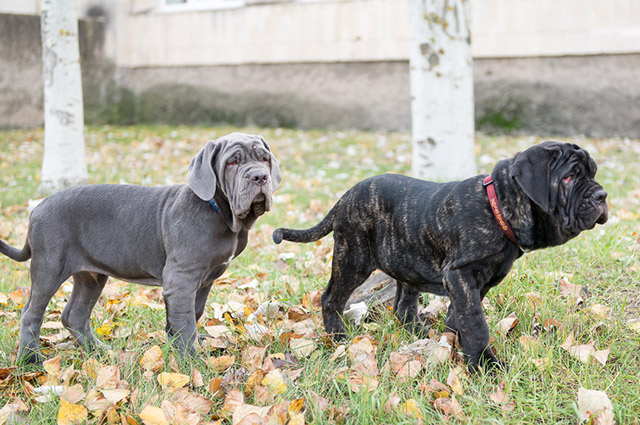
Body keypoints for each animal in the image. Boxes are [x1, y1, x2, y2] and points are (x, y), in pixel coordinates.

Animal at [0, 132, 280, 362]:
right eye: (232, 163)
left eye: (264, 159)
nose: (259, 176)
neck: (221, 212)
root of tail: (36, 208)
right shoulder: (181, 278)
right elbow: (186, 320)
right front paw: (191, 363)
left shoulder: (204, 279)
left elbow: (193, 313)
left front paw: (175, 345)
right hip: (49, 267)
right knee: (31, 313)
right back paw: (31, 361)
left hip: (91, 275)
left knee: (74, 315)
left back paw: (98, 352)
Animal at [272, 140, 608, 372]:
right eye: (568, 178)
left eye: (592, 173)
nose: (601, 195)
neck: (498, 205)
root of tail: (344, 197)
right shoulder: (460, 274)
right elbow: (476, 322)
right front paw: (484, 365)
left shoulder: (474, 282)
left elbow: (461, 315)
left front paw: (453, 343)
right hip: (353, 256)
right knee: (331, 297)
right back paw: (338, 339)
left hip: (405, 259)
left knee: (403, 304)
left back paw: (417, 331)